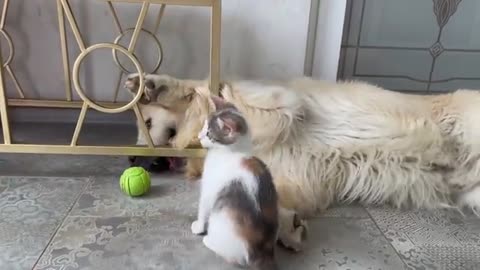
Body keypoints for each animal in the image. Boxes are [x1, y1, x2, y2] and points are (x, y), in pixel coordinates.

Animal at [191, 95, 280, 270]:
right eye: (204, 126)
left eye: (209, 133)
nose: (198, 136)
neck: (234, 152)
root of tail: (260, 253)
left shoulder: (209, 188)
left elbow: (203, 208)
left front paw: (198, 227)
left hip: (220, 220)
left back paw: (209, 241)